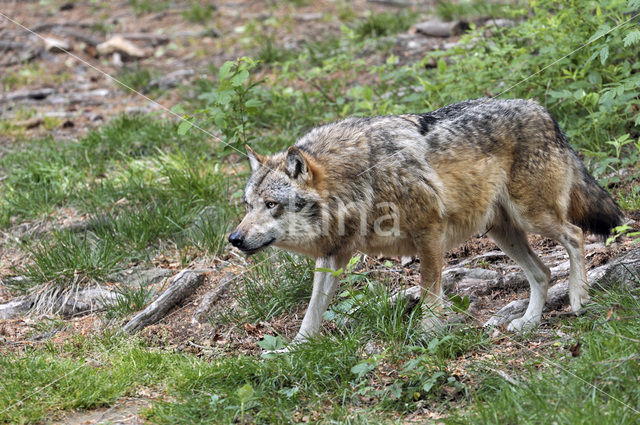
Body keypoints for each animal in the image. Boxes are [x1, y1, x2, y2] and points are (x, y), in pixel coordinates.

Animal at [228, 97, 624, 342]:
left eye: (271, 204)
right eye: (248, 205)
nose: (234, 239)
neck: (358, 181)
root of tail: (543, 110)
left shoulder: (430, 233)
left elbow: (430, 290)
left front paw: (428, 333)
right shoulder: (334, 256)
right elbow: (312, 312)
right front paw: (294, 348)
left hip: (533, 218)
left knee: (575, 235)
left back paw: (578, 297)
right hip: (501, 232)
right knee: (542, 272)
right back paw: (528, 322)